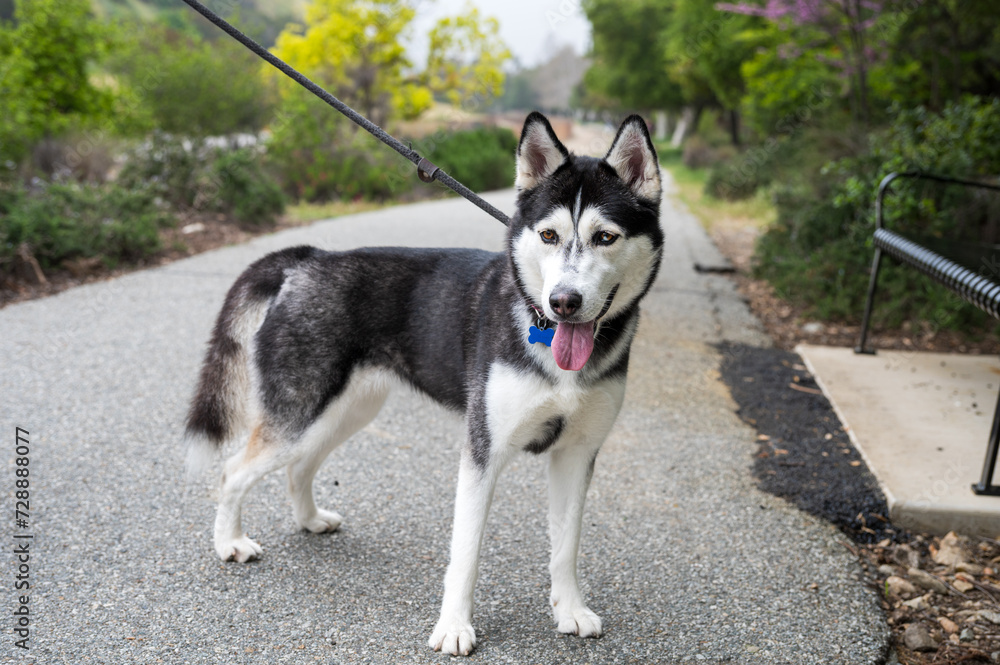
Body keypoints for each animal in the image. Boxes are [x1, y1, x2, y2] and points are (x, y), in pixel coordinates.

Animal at [186, 113, 664, 652]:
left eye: (605, 237)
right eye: (548, 235)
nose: (563, 302)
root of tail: (309, 259)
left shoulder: (577, 454)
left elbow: (566, 546)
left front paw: (570, 611)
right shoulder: (483, 452)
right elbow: (466, 554)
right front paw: (454, 627)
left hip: (345, 411)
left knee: (299, 466)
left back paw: (309, 520)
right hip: (299, 413)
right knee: (232, 470)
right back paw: (229, 542)